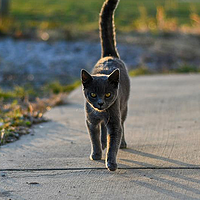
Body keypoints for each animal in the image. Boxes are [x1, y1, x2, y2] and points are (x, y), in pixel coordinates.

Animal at [81, 0, 130, 172]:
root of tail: (109, 55)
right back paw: (103, 142)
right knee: (102, 130)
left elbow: (113, 143)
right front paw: (96, 154)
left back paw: (123, 143)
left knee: (122, 123)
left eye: (108, 94)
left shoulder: (114, 122)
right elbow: (94, 138)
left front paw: (111, 163)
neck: (101, 113)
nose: (101, 103)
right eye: (93, 94)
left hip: (123, 107)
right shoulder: (90, 120)